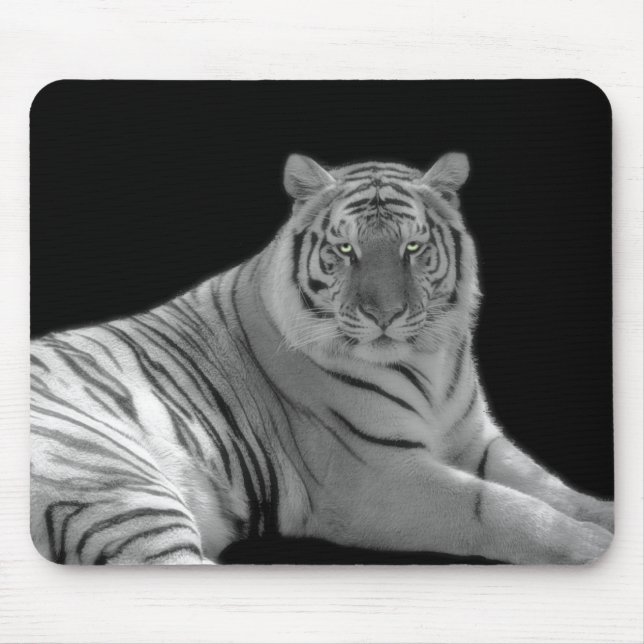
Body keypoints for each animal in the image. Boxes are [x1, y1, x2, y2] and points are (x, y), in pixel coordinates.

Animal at [30, 152, 614, 565]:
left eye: (411, 248)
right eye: (346, 249)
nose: (384, 315)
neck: (430, 362)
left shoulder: (473, 439)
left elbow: (549, 486)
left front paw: (604, 518)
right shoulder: (379, 475)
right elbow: (498, 507)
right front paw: (590, 546)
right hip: (115, 480)